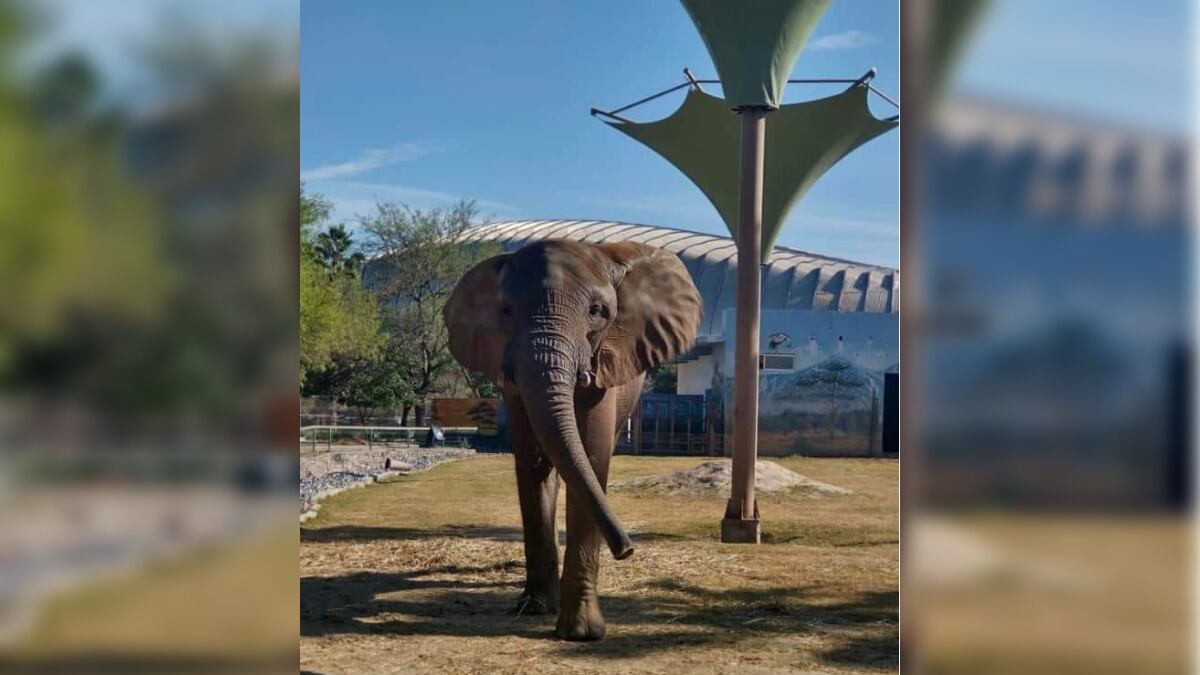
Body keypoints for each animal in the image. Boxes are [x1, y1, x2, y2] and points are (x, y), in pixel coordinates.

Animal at [443, 239, 702, 640]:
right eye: (506, 311)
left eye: (598, 312)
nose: (627, 549)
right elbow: (532, 463)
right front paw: (534, 608)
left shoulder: (607, 363)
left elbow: (592, 457)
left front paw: (580, 631)